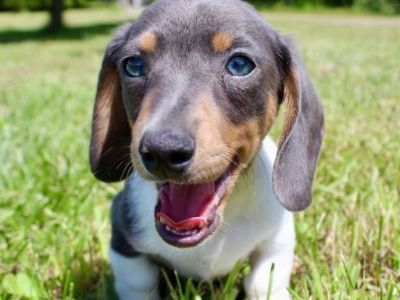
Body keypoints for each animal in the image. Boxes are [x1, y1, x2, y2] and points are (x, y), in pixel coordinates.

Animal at [89, 1, 324, 298]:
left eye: (239, 64)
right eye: (133, 65)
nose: (163, 151)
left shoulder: (277, 241)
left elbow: (263, 281)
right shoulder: (123, 239)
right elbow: (138, 282)